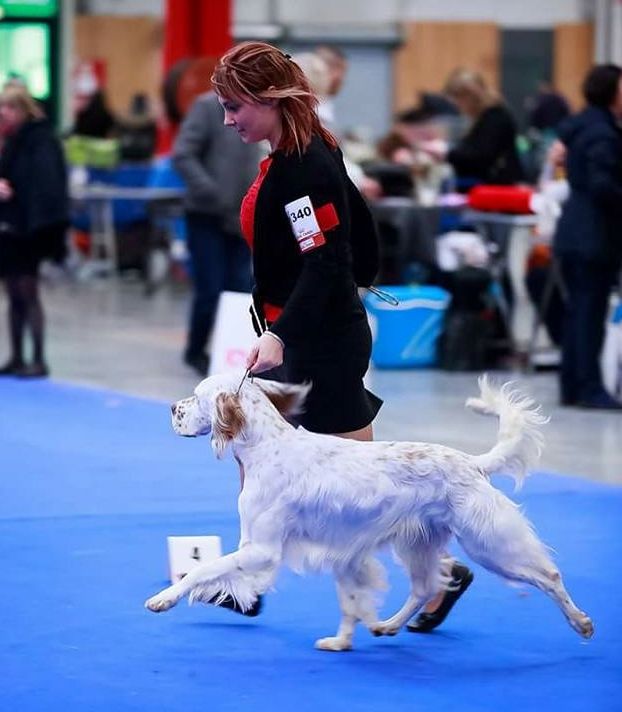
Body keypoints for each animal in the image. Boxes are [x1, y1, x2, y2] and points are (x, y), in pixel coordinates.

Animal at [145, 372, 596, 652]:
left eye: (197, 397)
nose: (171, 408)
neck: (265, 446)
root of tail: (472, 463)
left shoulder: (261, 549)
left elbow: (203, 570)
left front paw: (163, 598)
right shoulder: (343, 550)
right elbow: (350, 599)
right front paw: (342, 642)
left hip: (489, 543)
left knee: (548, 575)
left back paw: (581, 622)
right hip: (417, 544)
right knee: (425, 587)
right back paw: (389, 625)